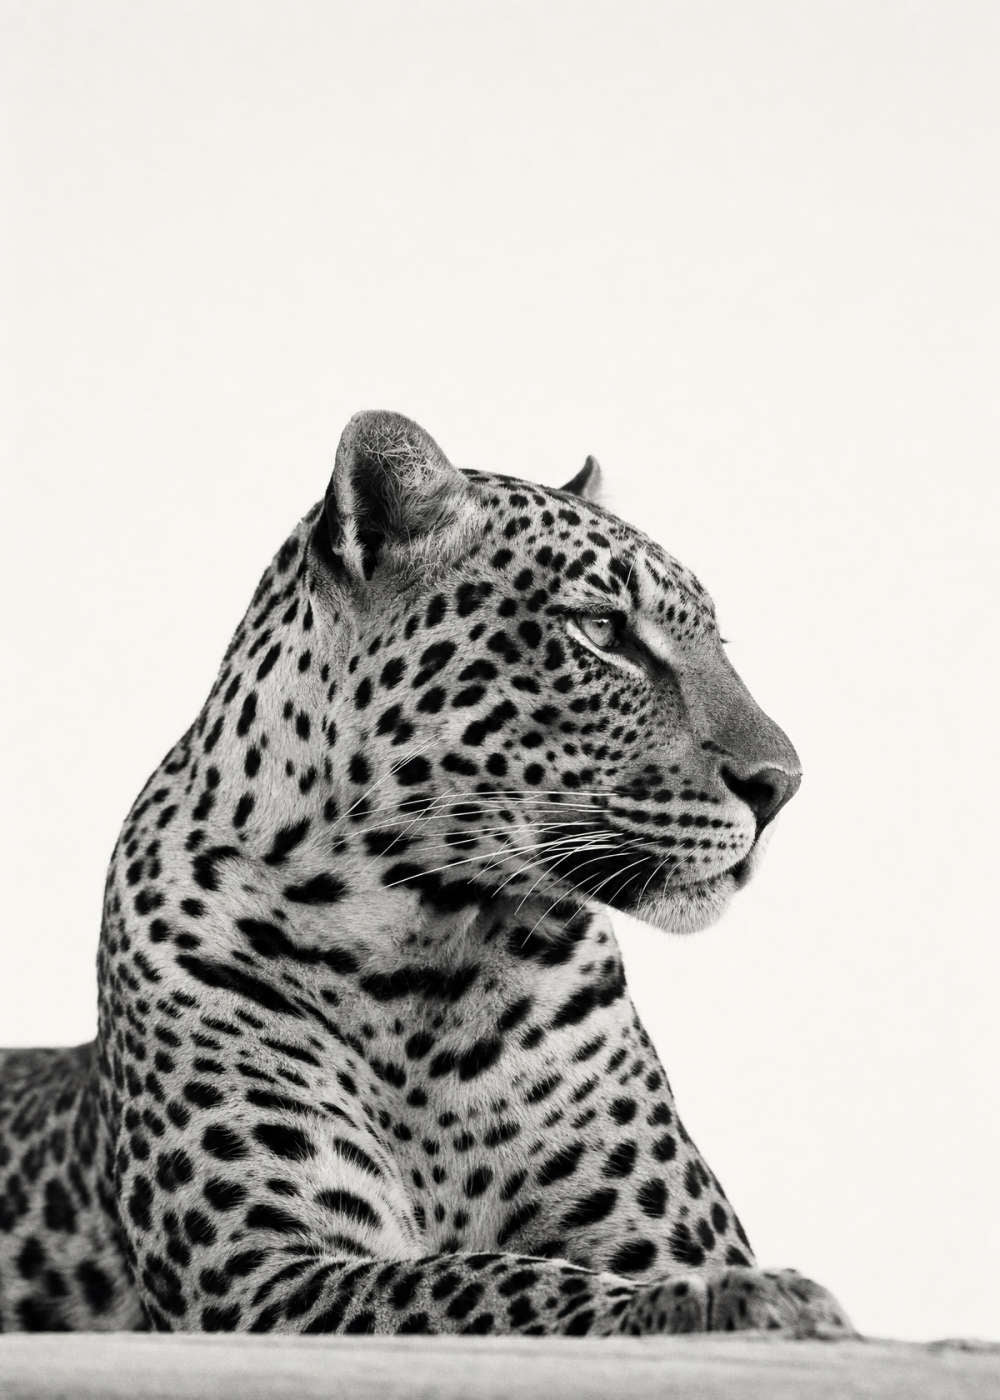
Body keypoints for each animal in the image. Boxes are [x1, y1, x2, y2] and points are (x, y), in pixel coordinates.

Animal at [0, 410, 851, 1337]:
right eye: (603, 631)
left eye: (717, 642)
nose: (783, 783)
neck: (420, 951)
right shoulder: (259, 1280)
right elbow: (490, 1283)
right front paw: (737, 1300)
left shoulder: (671, 1231)